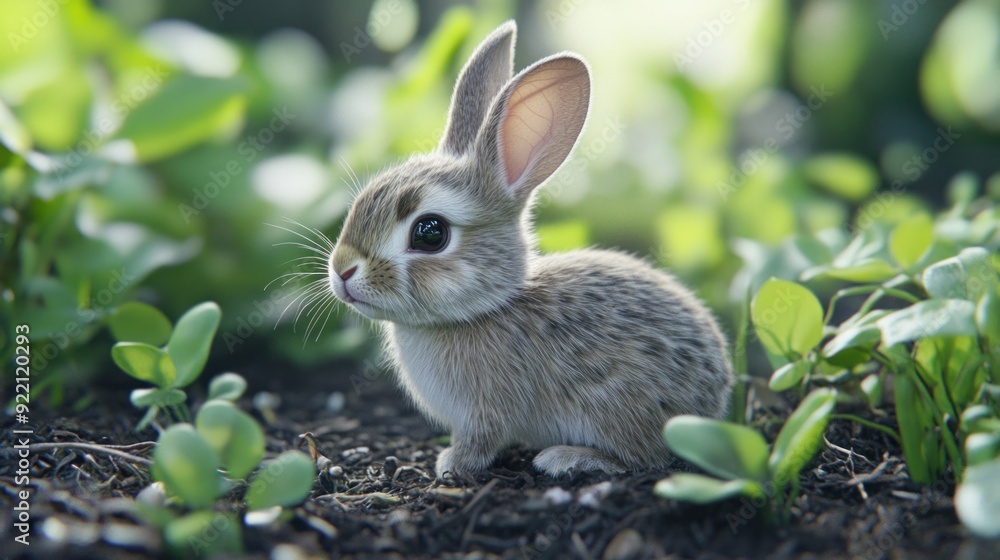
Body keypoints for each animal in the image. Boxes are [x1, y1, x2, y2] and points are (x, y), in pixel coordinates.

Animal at [327, 20, 734, 479]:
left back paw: (566, 458)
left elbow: (482, 440)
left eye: (430, 234)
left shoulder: (486, 410)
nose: (341, 270)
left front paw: (452, 464)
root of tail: (713, 401)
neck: (481, 309)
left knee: (644, 458)